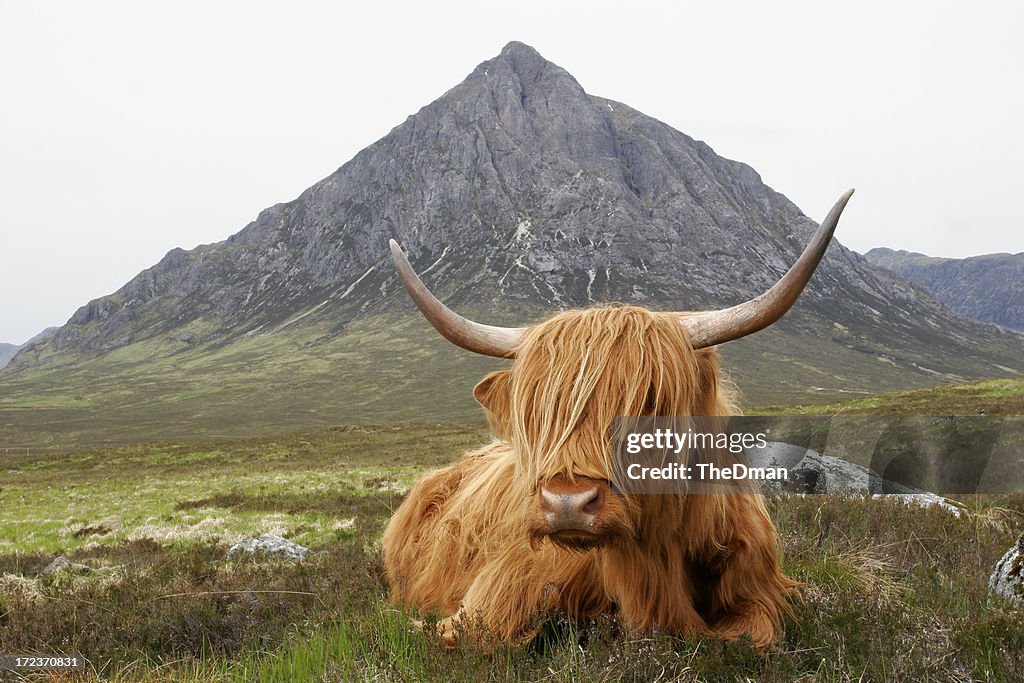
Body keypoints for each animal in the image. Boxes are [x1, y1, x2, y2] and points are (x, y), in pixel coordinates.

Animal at [380, 189, 851, 651]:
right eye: (536, 410)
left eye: (650, 401)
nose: (566, 504)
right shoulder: (498, 591)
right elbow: (480, 634)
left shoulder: (762, 588)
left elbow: (752, 636)